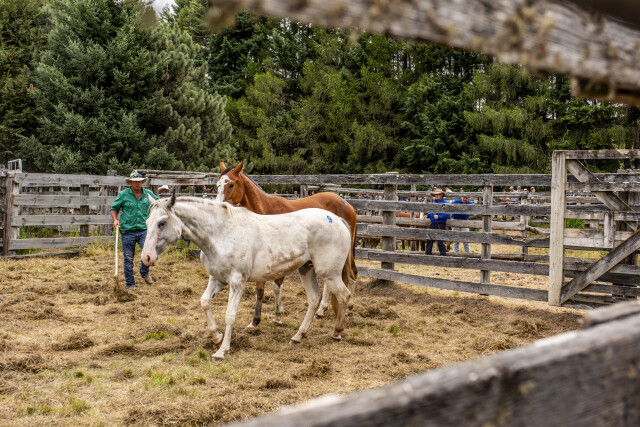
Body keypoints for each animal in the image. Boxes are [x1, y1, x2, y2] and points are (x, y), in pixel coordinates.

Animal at [141, 194, 352, 361]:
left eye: (161, 222)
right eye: (147, 222)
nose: (147, 257)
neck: (221, 233)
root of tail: (337, 219)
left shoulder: (237, 282)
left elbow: (230, 315)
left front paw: (222, 351)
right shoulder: (217, 279)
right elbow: (204, 302)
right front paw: (216, 336)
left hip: (330, 274)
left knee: (344, 296)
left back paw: (337, 332)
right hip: (306, 270)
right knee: (314, 298)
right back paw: (298, 336)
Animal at [216, 161, 358, 327]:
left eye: (231, 184)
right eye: (217, 184)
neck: (266, 211)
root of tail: (347, 204)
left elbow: (276, 287)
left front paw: (277, 316)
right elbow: (260, 290)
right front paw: (255, 321)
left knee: (350, 276)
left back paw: (344, 308)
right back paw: (321, 311)